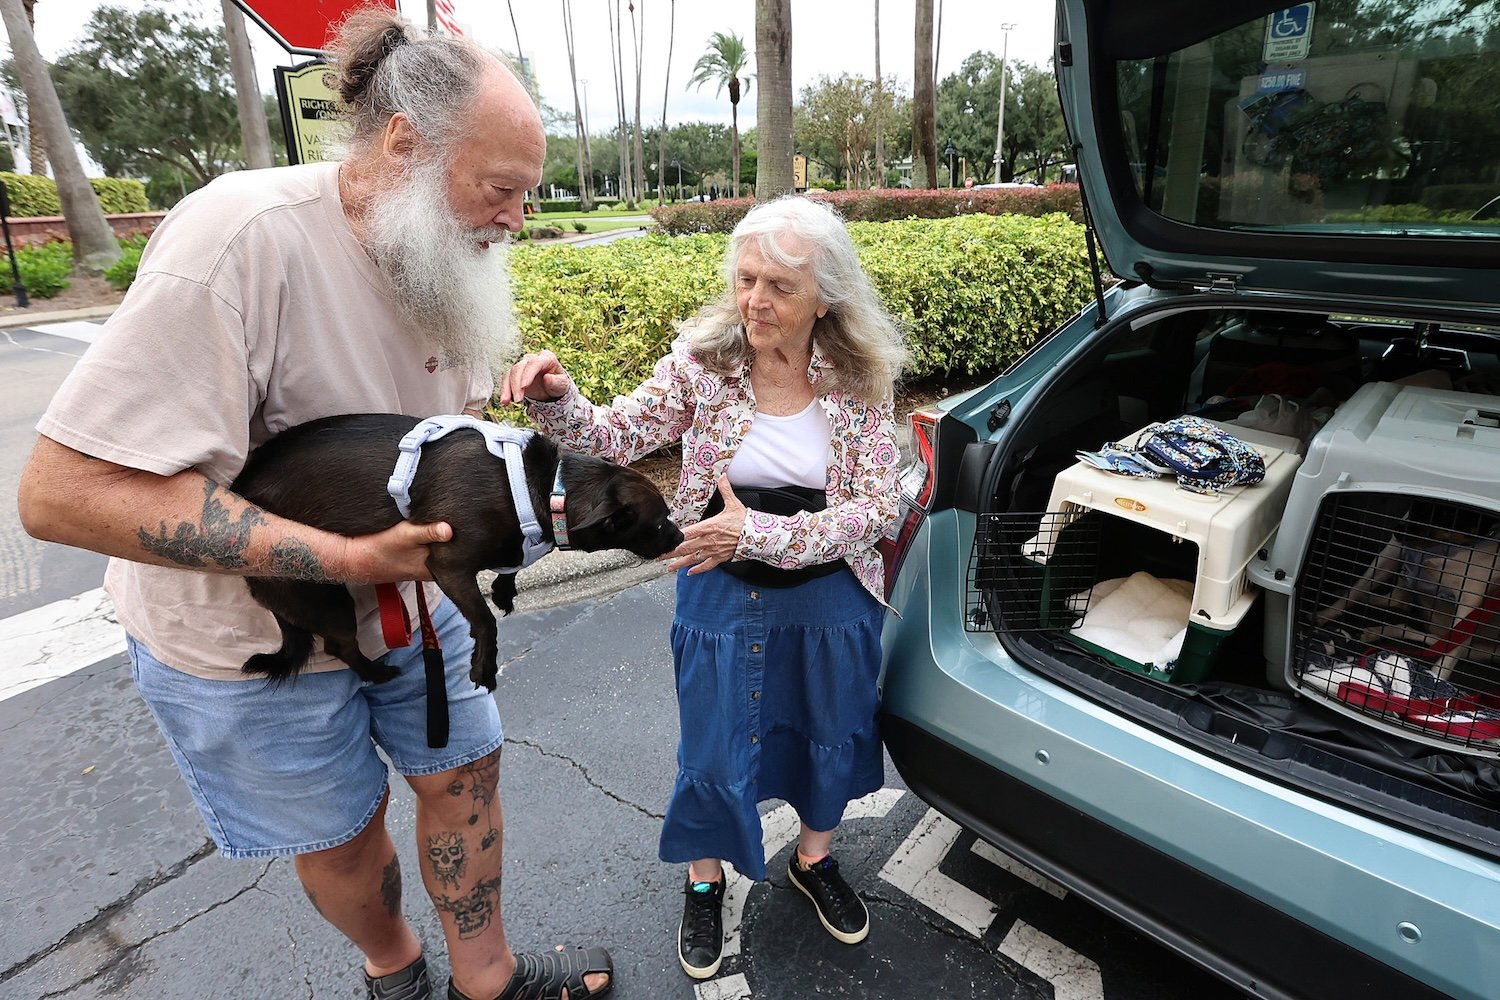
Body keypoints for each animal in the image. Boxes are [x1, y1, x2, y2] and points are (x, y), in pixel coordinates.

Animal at [231, 413, 684, 689]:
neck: (541, 486)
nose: (681, 537)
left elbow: (509, 569)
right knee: (338, 645)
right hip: (322, 596)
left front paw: (504, 591)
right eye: (661, 522)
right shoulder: (447, 565)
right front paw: (484, 664)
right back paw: (378, 673)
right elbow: (485, 620)